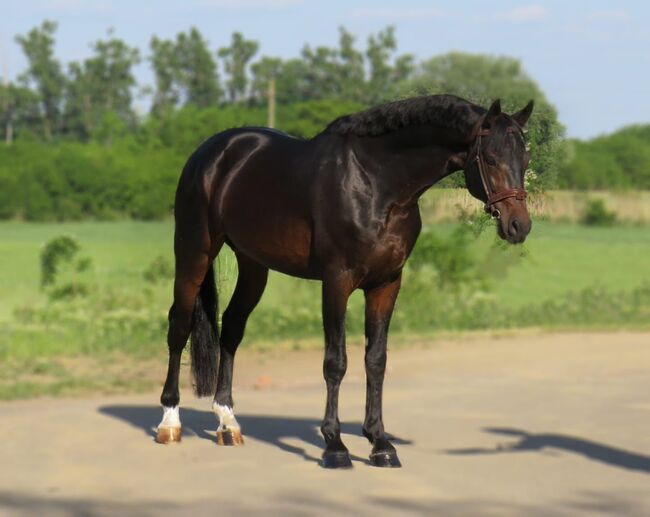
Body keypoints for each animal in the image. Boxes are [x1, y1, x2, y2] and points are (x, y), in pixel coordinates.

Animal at [156, 93, 532, 468]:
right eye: (491, 158)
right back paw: (170, 422)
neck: (377, 183)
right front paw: (335, 445)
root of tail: (211, 152)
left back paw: (228, 423)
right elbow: (336, 362)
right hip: (194, 252)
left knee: (232, 328)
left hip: (253, 265)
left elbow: (376, 360)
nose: (519, 226)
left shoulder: (386, 284)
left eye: (525, 158)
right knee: (179, 326)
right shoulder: (337, 282)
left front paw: (380, 443)